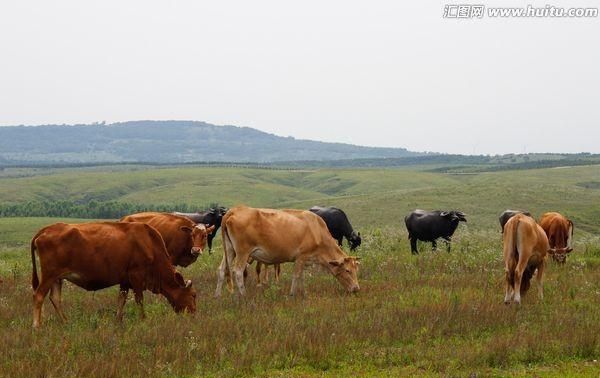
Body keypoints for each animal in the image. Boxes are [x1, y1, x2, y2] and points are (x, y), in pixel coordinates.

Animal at [30, 221, 196, 328]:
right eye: (194, 295)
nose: (193, 314)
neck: (150, 244)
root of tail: (46, 229)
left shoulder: (125, 280)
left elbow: (121, 300)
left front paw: (117, 321)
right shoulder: (136, 276)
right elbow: (139, 300)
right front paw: (143, 319)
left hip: (57, 278)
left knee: (55, 298)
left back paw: (65, 322)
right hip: (49, 275)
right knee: (39, 296)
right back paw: (37, 325)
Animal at [213, 207, 358, 298]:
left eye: (356, 270)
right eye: (347, 270)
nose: (356, 288)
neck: (316, 230)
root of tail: (234, 210)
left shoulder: (305, 260)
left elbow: (302, 277)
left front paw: (304, 294)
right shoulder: (301, 257)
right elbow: (296, 276)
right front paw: (292, 294)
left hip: (230, 250)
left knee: (221, 269)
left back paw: (217, 296)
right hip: (242, 252)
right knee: (237, 271)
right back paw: (244, 296)